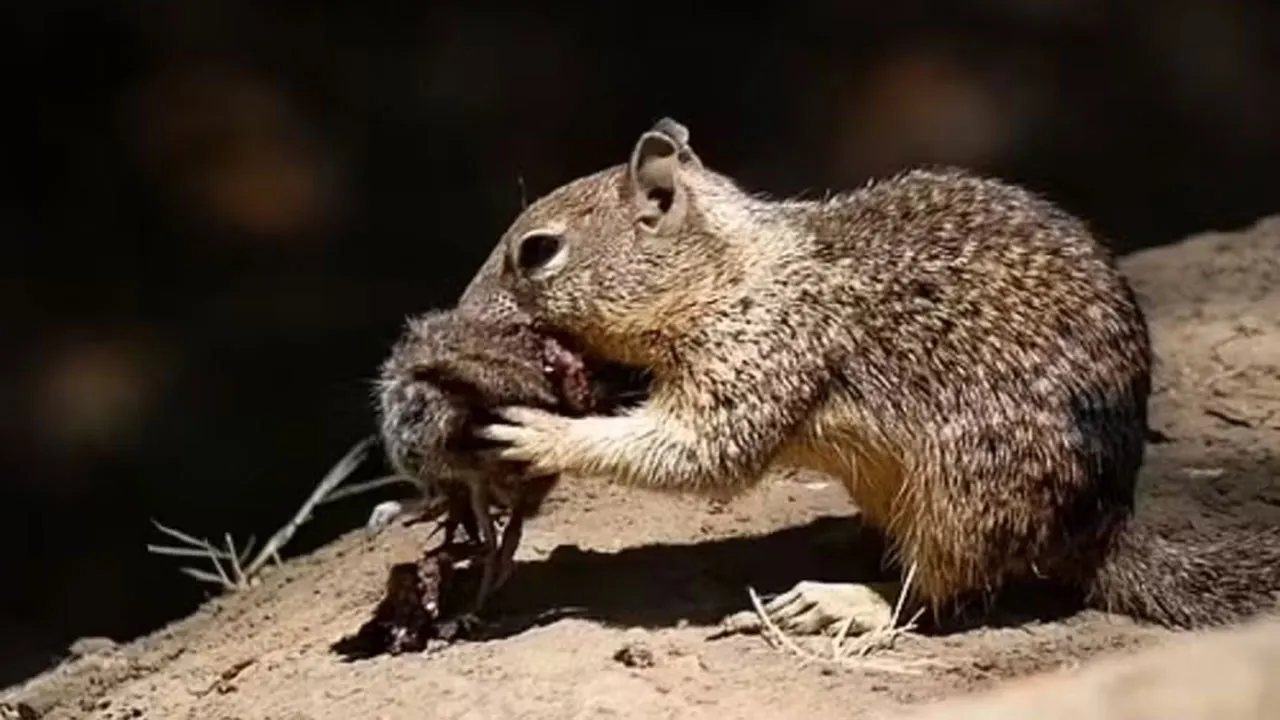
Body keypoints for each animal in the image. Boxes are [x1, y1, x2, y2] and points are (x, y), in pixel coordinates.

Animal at [473, 116, 1280, 627]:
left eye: (537, 251)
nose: (466, 309)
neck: (731, 272)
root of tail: (1102, 524)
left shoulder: (762, 353)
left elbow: (701, 450)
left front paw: (540, 434)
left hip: (966, 494)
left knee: (939, 592)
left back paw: (844, 600)